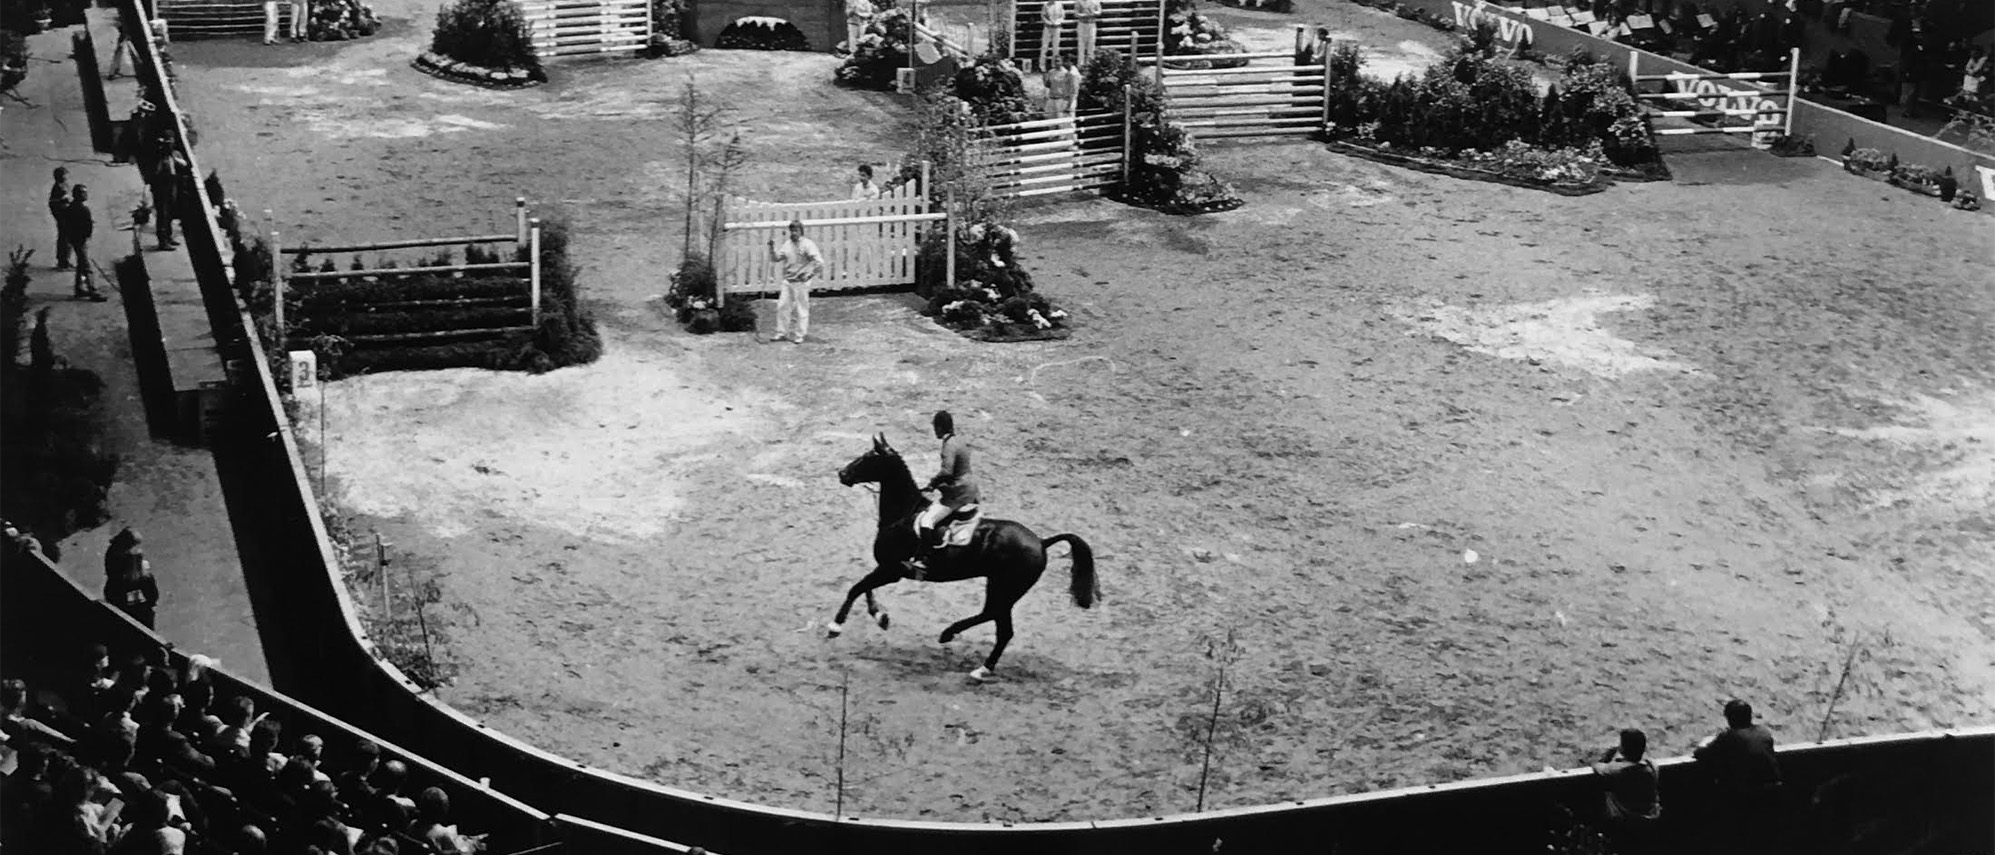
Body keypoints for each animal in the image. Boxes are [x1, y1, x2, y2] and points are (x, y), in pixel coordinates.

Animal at [829, 432, 1101, 681]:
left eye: (867, 458)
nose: (842, 474)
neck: (903, 513)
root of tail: (1041, 542)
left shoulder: (892, 570)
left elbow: (856, 588)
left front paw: (835, 626)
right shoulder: (887, 568)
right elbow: (866, 590)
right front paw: (881, 617)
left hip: (1004, 589)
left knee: (997, 622)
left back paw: (966, 652)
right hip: (1001, 588)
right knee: (998, 623)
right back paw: (970, 654)